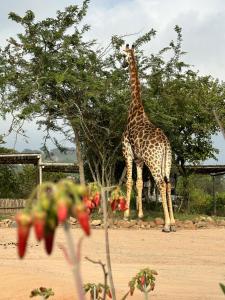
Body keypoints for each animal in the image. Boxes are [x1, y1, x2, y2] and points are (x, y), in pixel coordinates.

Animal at [121, 44, 176, 232]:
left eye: (121, 55)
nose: (122, 65)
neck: (135, 110)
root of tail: (165, 143)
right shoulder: (139, 159)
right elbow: (139, 183)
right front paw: (140, 215)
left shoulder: (128, 152)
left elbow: (129, 181)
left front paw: (126, 214)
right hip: (166, 161)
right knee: (168, 183)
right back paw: (173, 222)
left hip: (153, 161)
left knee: (160, 183)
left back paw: (166, 225)